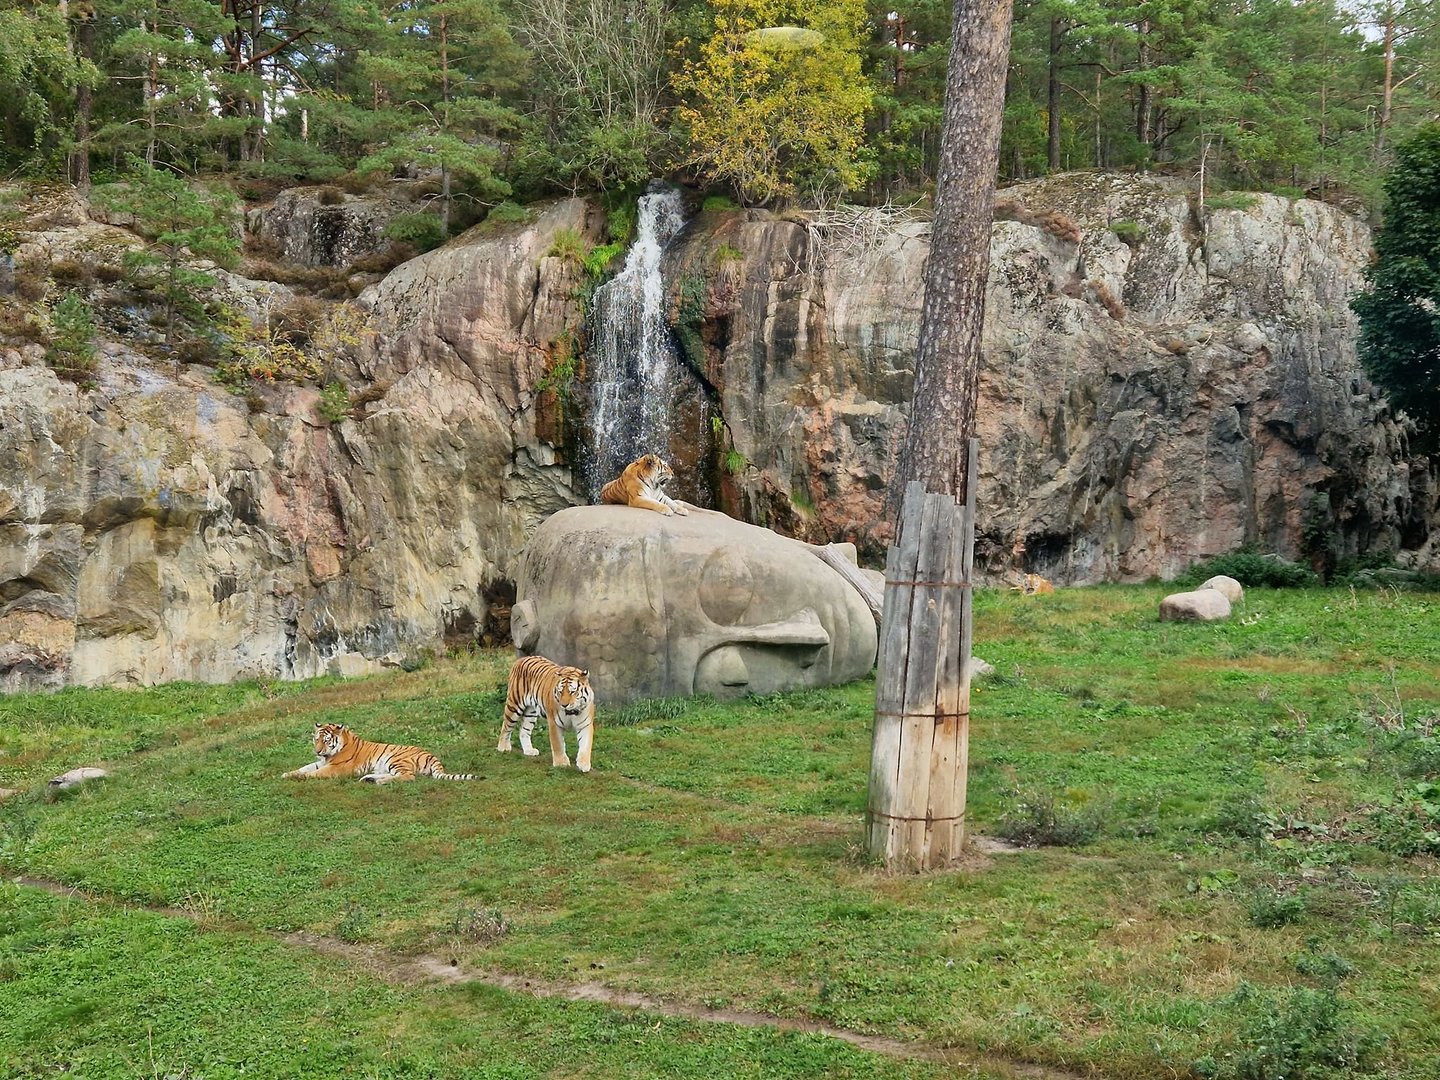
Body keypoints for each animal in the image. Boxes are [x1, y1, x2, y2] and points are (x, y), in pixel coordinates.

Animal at [282, 723, 480, 784]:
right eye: (316, 739)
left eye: (326, 740)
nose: (317, 750)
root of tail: (432, 755)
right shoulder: (322, 762)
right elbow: (305, 767)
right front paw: (286, 773)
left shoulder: (336, 768)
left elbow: (313, 773)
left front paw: (298, 777)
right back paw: (369, 779)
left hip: (395, 759)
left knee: (408, 777)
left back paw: (377, 781)